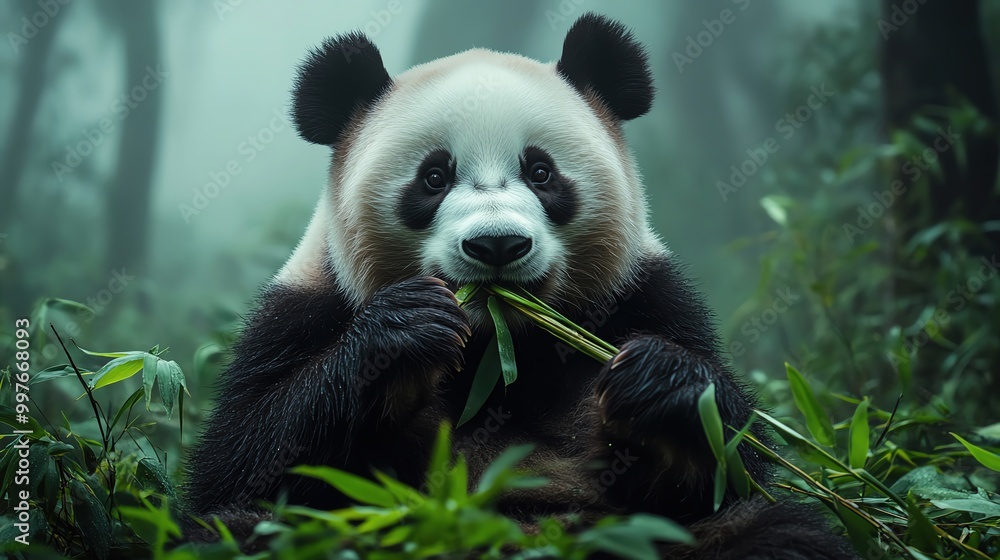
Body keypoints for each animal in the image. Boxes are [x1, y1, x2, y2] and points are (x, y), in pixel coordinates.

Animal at [185, 13, 856, 559]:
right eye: (434, 177)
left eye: (541, 171)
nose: (497, 246)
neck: (499, 346)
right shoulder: (305, 309)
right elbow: (246, 460)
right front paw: (406, 330)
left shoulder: (646, 296)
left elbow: (730, 466)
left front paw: (656, 380)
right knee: (238, 533)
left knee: (776, 534)